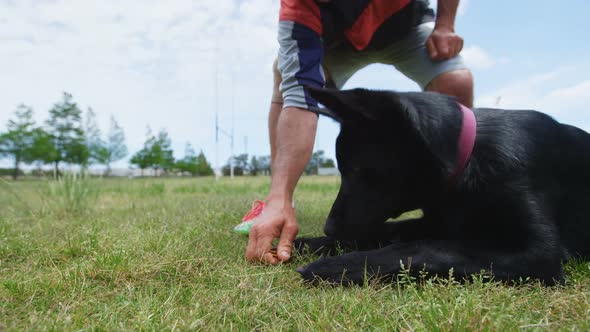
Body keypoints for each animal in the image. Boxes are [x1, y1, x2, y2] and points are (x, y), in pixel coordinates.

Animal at [294, 86, 590, 286]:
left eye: (356, 169)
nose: (329, 228)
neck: (469, 162)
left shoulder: (538, 253)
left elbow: (426, 247)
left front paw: (338, 265)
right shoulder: (436, 221)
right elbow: (388, 231)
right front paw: (310, 243)